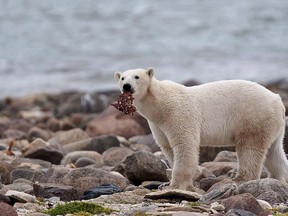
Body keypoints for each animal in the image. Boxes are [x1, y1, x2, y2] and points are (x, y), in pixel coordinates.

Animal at [113, 67, 286, 191]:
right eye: (122, 78)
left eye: (137, 77)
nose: (126, 86)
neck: (159, 104)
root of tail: (277, 100)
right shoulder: (157, 124)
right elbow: (168, 147)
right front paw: (166, 183)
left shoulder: (178, 114)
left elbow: (184, 144)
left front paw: (175, 185)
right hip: (273, 124)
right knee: (274, 151)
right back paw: (277, 177)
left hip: (253, 116)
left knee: (250, 148)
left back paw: (240, 179)